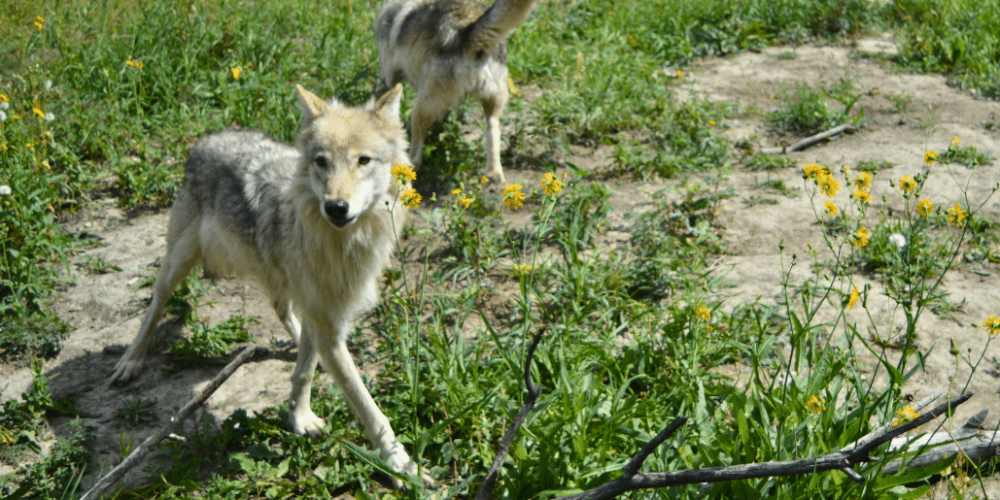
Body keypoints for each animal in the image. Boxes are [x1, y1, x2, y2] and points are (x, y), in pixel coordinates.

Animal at [108, 84, 430, 486]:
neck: (343, 243)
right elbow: (370, 409)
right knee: (153, 306)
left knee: (283, 311)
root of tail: (209, 139)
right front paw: (401, 466)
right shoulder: (326, 321)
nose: (336, 207)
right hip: (177, 263)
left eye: (364, 160)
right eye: (321, 162)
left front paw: (299, 417)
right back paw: (131, 361)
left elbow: (305, 372)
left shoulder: (324, 313)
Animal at [374, 0, 539, 184]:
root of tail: (471, 34)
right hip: (492, 106)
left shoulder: (387, 79)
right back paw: (494, 174)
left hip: (421, 107)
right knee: (493, 132)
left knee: (415, 157)